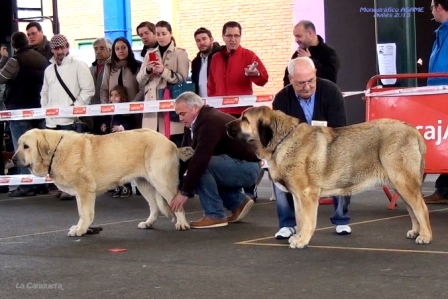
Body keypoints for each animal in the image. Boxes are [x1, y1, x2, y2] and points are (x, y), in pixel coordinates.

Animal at [12, 129, 189, 237]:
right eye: (19, 145)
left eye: (26, 146)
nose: (13, 159)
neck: (55, 151)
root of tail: (170, 142)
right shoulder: (80, 193)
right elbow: (82, 212)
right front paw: (80, 228)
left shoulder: (85, 190)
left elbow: (85, 213)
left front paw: (81, 230)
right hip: (144, 184)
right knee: (154, 207)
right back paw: (148, 223)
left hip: (161, 181)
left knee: (176, 202)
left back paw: (182, 224)